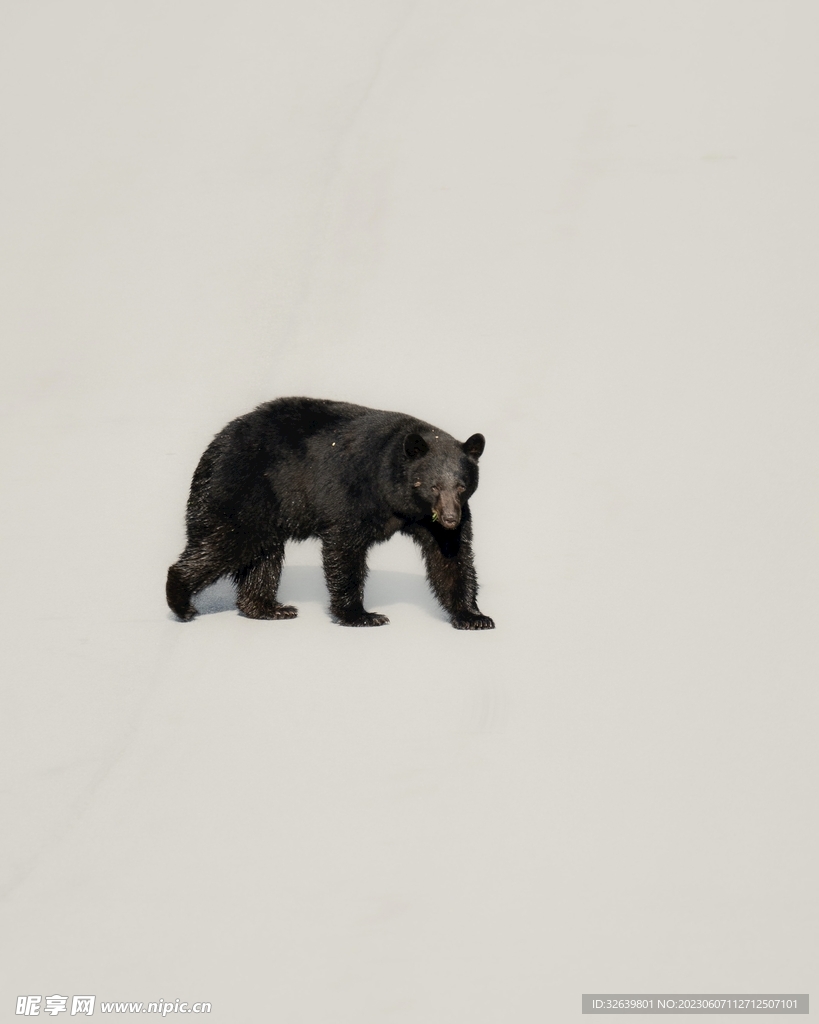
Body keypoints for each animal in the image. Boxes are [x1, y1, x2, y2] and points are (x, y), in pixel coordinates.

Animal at [166, 397, 494, 630]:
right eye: (433, 485)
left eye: (461, 485)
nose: (450, 519)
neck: (396, 494)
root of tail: (215, 444)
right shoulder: (354, 489)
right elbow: (344, 547)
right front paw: (362, 615)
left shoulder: (430, 518)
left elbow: (450, 557)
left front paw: (474, 616)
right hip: (244, 489)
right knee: (225, 542)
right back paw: (181, 600)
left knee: (264, 556)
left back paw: (268, 608)